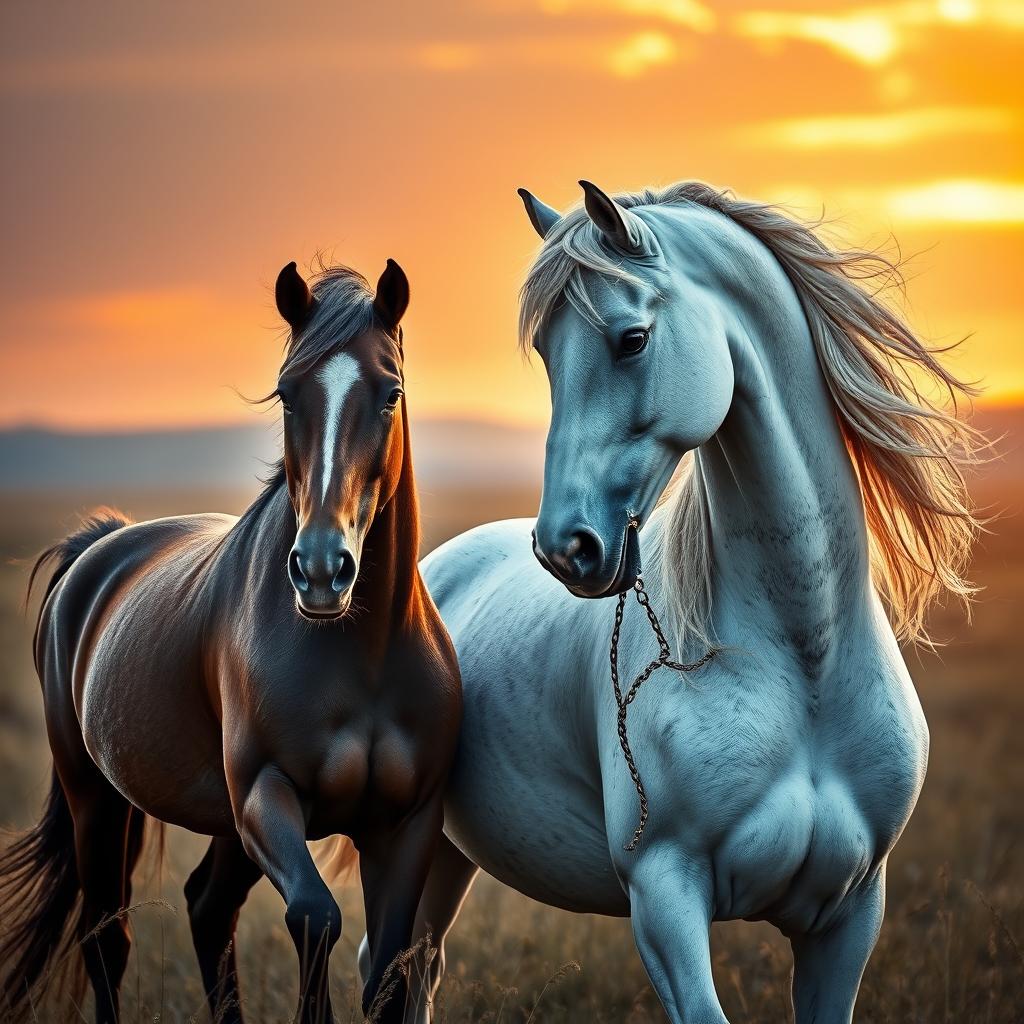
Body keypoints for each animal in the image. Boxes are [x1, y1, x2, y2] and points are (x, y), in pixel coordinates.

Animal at [0, 257, 462, 1024]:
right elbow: (316, 919)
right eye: (287, 394)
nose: (321, 570)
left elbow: (388, 975)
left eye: (390, 392)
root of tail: (100, 548)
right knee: (107, 936)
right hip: (95, 797)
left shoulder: (408, 823)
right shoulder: (265, 799)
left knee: (207, 909)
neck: (362, 658)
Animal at [387, 181, 982, 1023]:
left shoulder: (852, 912)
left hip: (446, 855)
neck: (805, 660)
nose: (566, 547)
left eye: (631, 340)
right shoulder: (664, 897)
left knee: (415, 973)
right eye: (548, 354)